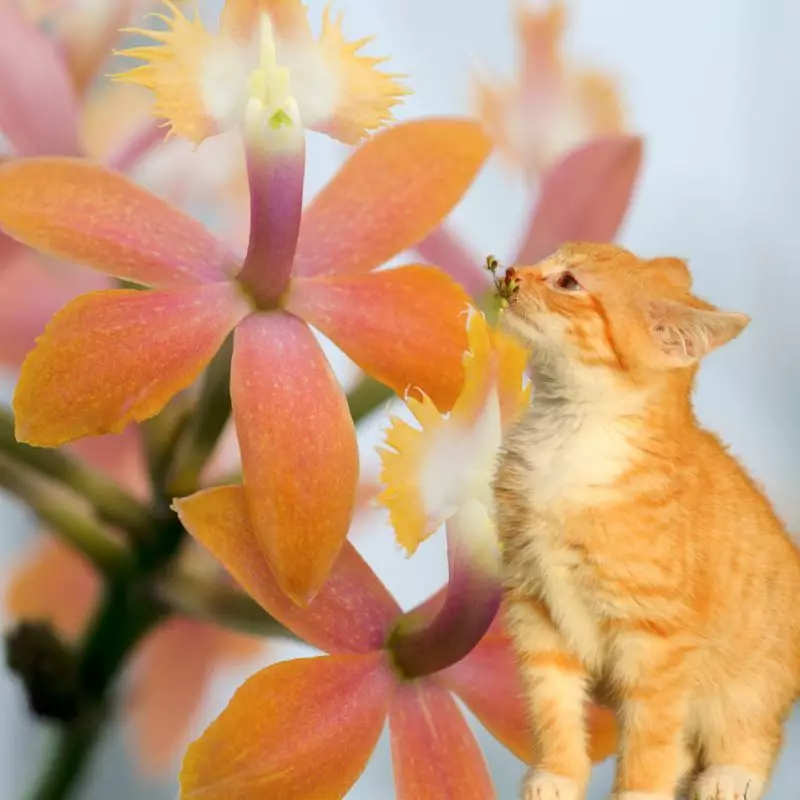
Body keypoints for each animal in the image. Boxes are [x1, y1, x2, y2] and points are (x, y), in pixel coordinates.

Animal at [494, 244, 800, 800]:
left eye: (568, 282)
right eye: (545, 260)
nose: (510, 272)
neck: (572, 437)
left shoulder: (657, 638)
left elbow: (651, 730)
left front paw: (638, 791)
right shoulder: (534, 605)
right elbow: (551, 702)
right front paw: (558, 773)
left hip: (754, 675)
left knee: (752, 726)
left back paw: (732, 772)